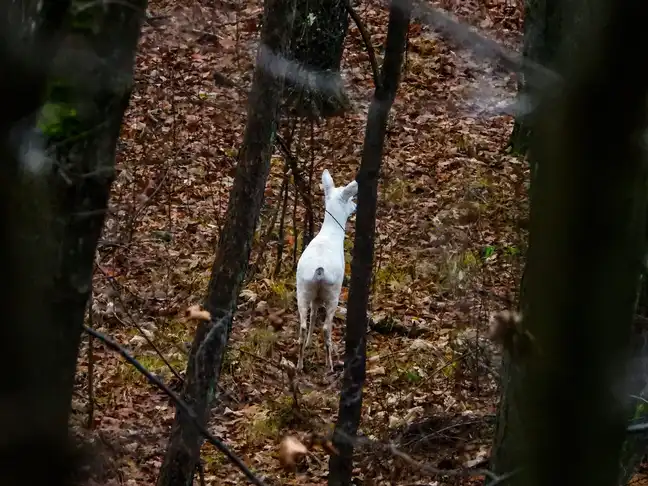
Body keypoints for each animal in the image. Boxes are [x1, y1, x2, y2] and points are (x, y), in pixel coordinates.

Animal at [294, 168, 356, 372]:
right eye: (350, 199)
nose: (355, 206)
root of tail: (319, 272)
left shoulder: (314, 297)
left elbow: (313, 315)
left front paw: (309, 344)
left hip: (302, 288)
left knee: (303, 324)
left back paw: (300, 362)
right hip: (333, 292)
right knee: (327, 328)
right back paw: (330, 364)